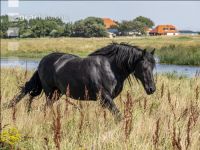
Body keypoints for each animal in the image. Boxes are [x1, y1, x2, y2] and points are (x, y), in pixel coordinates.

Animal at [8, 42, 156, 122]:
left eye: (153, 66)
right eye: (144, 67)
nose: (152, 89)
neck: (110, 68)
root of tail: (42, 61)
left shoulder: (105, 100)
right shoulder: (105, 98)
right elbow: (118, 115)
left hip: (57, 94)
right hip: (50, 93)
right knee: (46, 107)